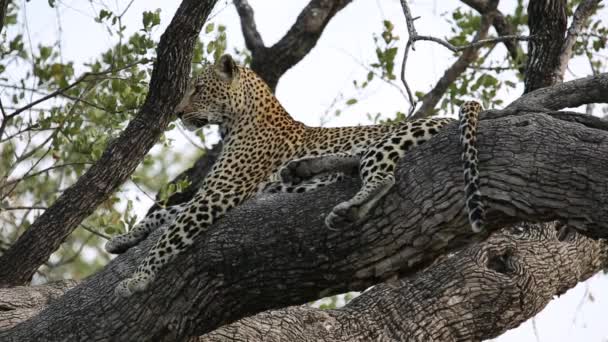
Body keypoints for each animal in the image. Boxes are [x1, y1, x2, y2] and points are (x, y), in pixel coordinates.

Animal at [105, 53, 484, 296]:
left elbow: (171, 234)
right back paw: (301, 172)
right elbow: (165, 214)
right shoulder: (216, 193)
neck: (237, 122)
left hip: (390, 139)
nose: (179, 112)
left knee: (381, 176)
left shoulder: (219, 194)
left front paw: (137, 279)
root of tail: (446, 117)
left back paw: (344, 208)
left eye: (198, 88)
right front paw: (122, 239)